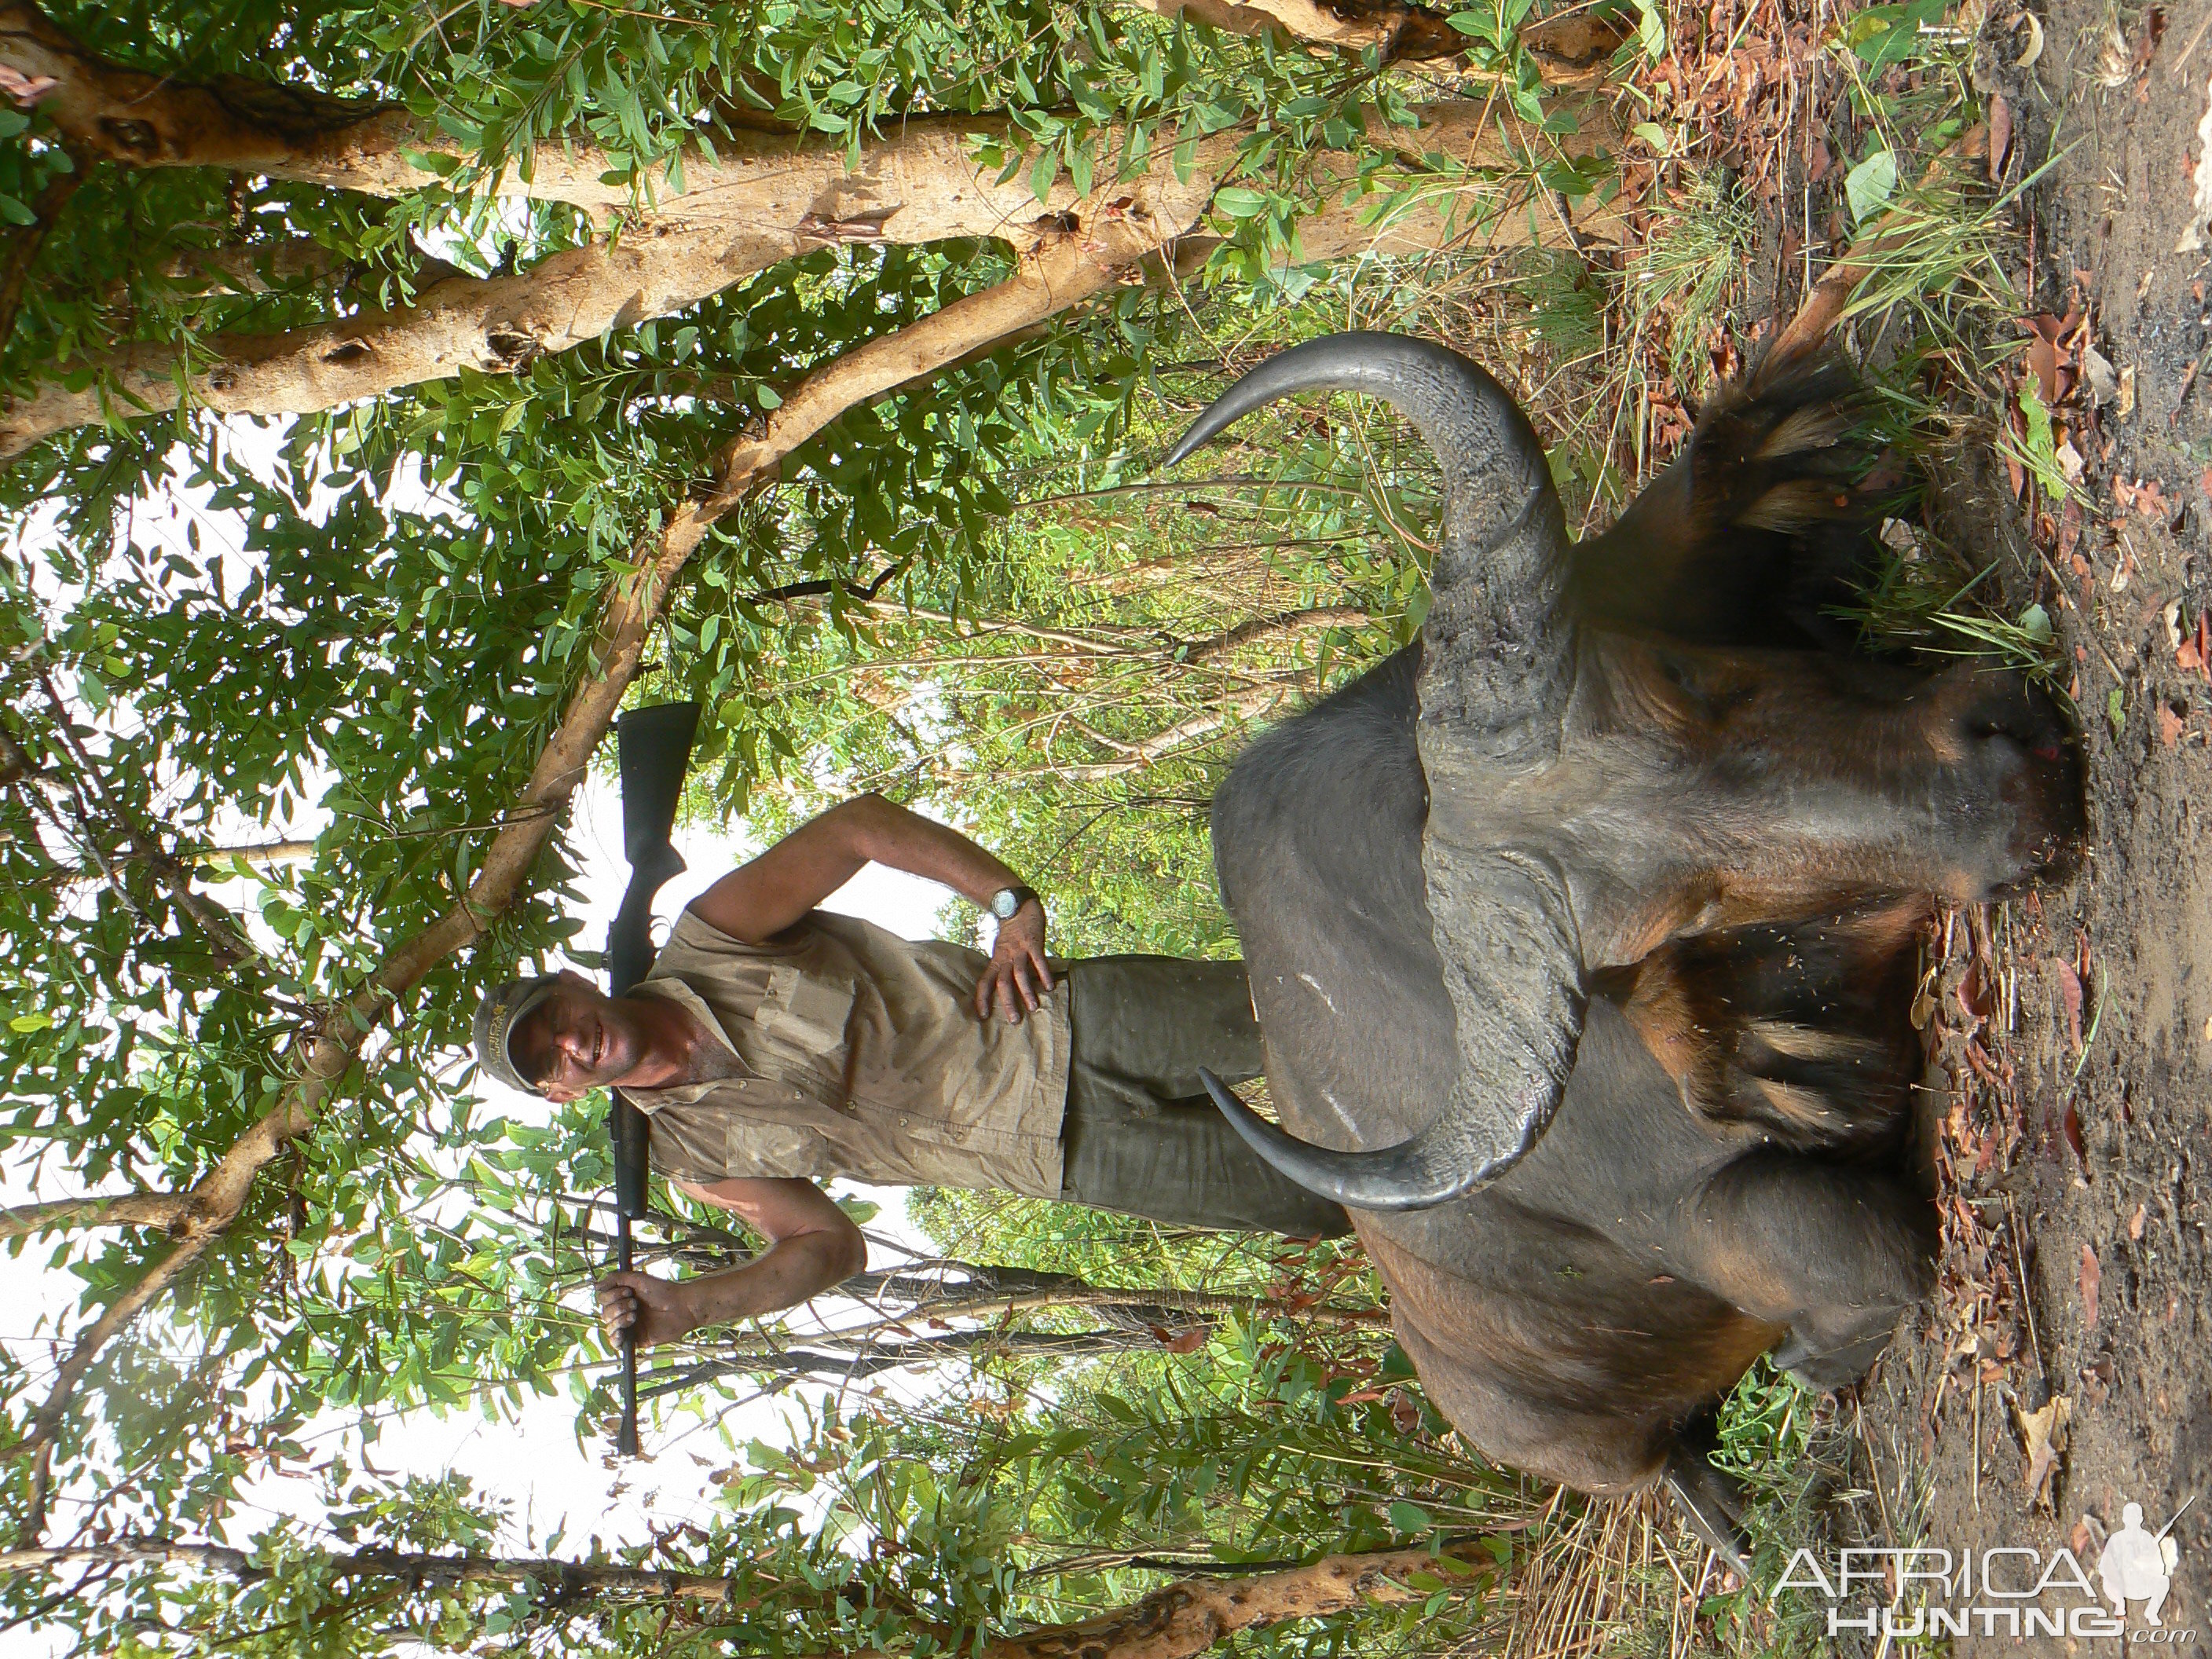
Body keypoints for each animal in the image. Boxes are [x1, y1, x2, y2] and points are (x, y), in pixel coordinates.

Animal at [1167, 334, 2079, 1557]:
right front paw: (1819, 1357)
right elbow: (1867, 1245)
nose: (2003, 780)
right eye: (1686, 912)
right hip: (1598, 1455)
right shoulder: (1719, 1216)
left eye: (1693, 678)